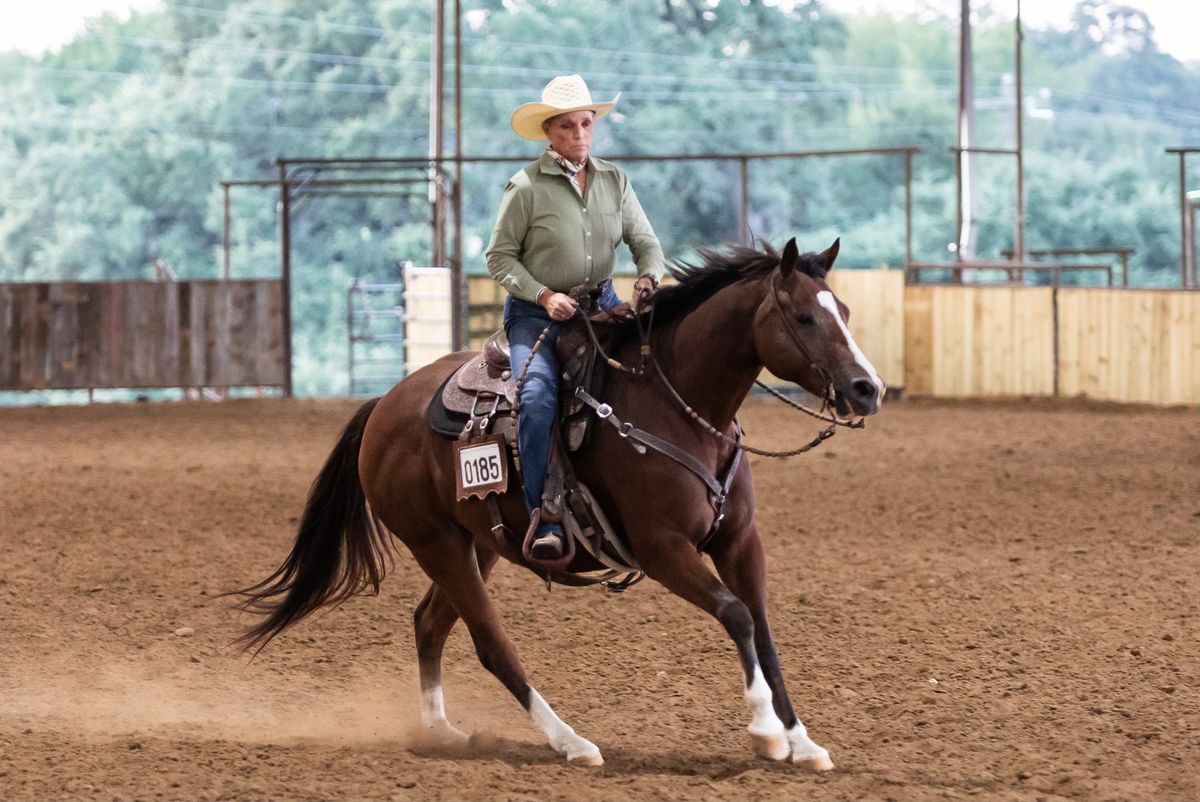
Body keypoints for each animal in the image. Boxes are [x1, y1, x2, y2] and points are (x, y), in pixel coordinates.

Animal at [234, 237, 888, 768]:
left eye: (844, 311)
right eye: (804, 316)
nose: (869, 389)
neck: (679, 410)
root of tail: (384, 407)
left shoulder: (739, 542)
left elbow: (765, 632)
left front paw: (803, 742)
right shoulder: (662, 549)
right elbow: (736, 615)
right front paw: (766, 733)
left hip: (479, 544)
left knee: (429, 623)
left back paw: (441, 732)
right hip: (435, 543)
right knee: (491, 644)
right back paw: (571, 742)